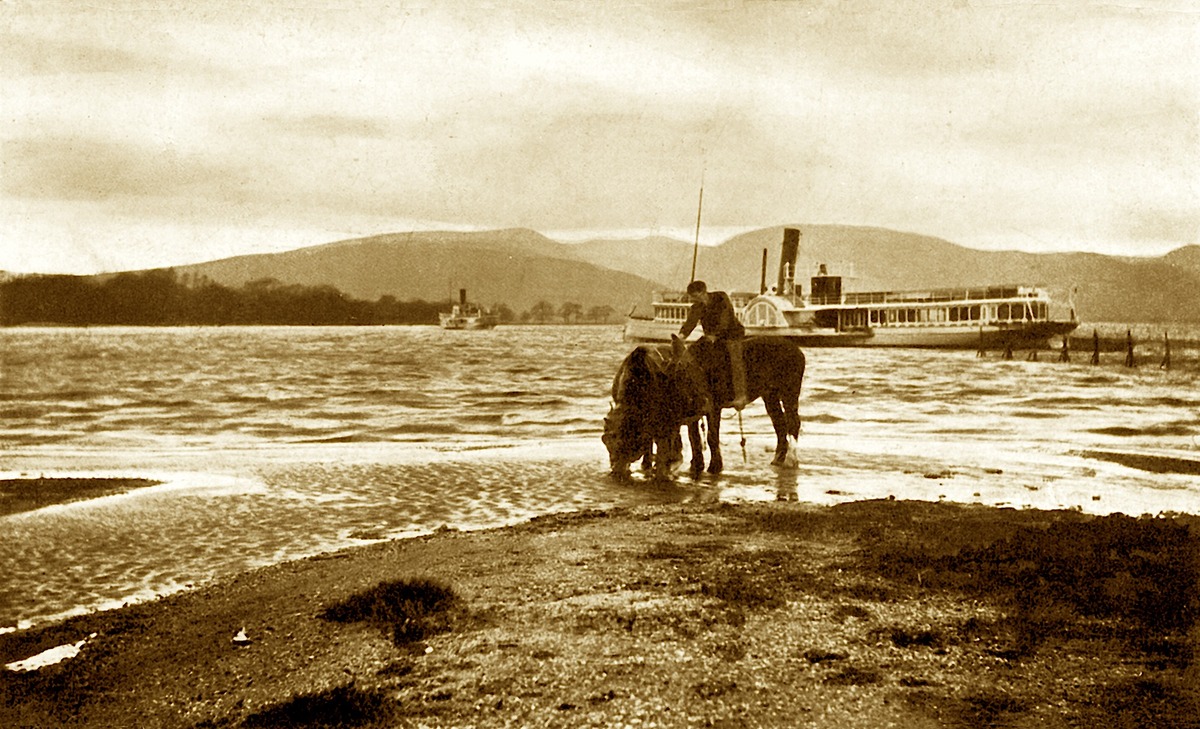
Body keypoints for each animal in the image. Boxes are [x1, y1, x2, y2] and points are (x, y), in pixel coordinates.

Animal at [604, 338, 811, 479]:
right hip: (770, 396)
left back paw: (791, 460)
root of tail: (798, 351)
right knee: (780, 424)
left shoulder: (712, 408)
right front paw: (696, 465)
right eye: (606, 441)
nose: (615, 470)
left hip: (789, 392)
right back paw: (778, 458)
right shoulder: (688, 415)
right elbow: (694, 438)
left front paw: (714, 466)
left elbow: (711, 437)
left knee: (793, 422)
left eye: (623, 438)